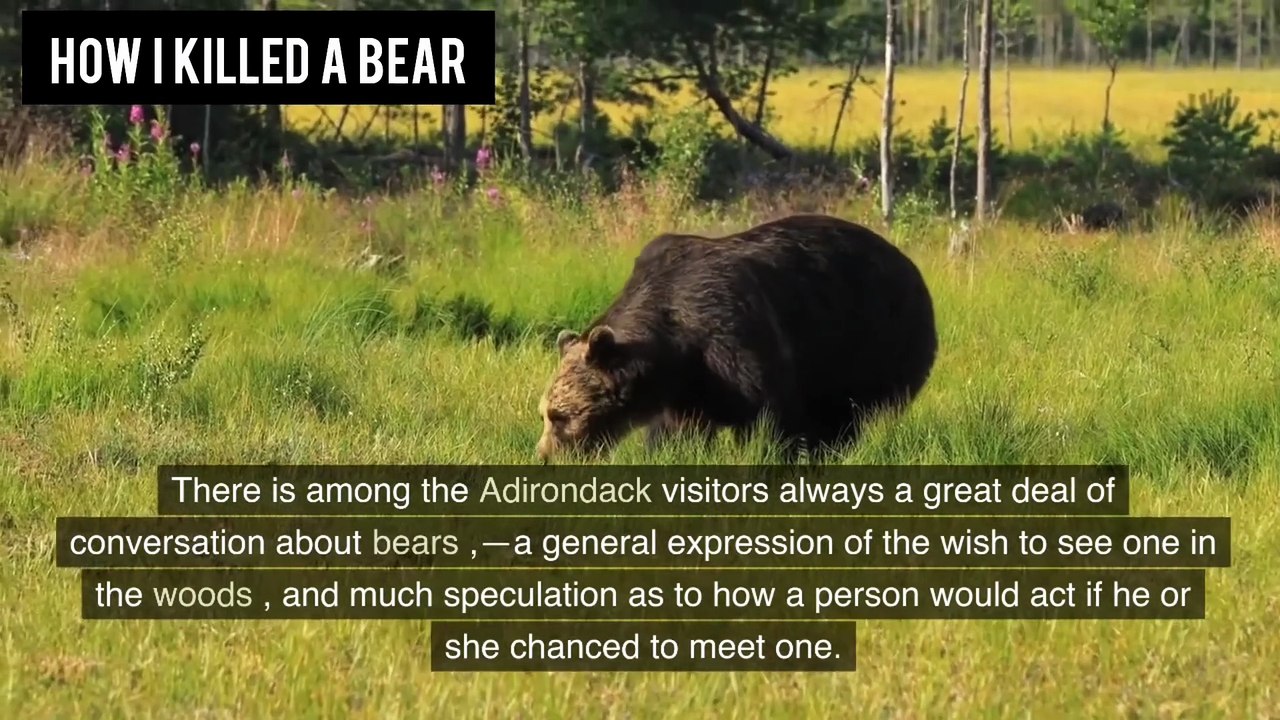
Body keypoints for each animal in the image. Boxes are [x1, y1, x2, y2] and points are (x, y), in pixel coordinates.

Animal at [535, 213, 938, 462]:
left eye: (559, 415)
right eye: (545, 412)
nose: (544, 456)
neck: (676, 350)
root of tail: (909, 264)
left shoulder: (733, 339)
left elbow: (771, 418)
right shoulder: (687, 389)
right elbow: (676, 435)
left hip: (873, 340)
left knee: (844, 417)